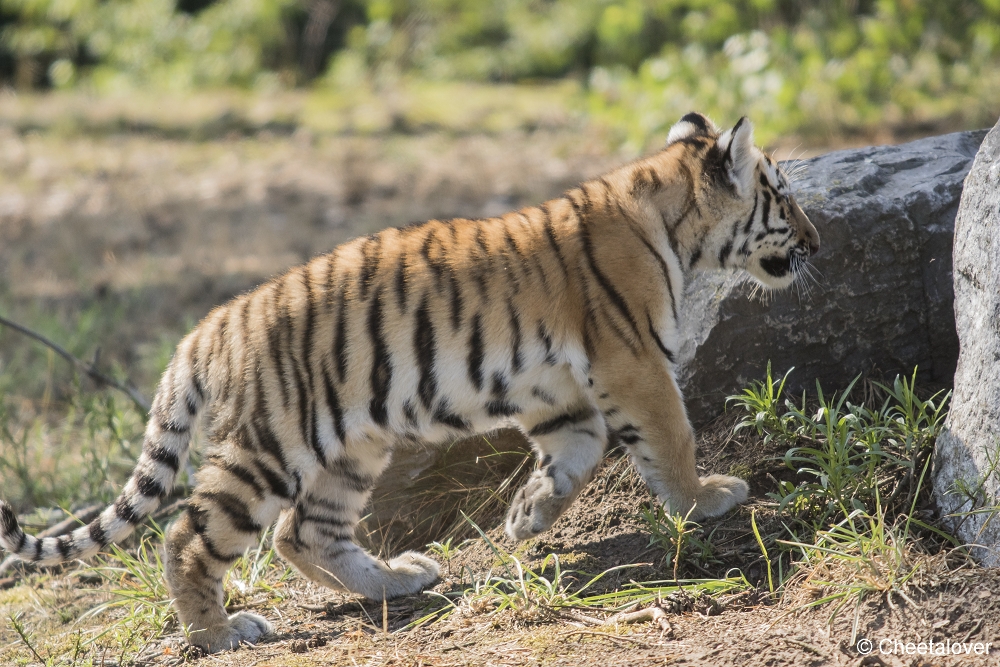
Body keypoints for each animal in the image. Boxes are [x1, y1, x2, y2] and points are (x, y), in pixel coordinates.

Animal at [0, 113, 820, 652]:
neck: (678, 226)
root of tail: (204, 330)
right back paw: (221, 631)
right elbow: (672, 437)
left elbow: (576, 453)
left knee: (305, 531)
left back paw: (399, 580)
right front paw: (707, 498)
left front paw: (527, 516)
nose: (818, 242)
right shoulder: (633, 361)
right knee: (189, 535)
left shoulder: (564, 389)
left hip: (351, 443)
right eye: (782, 195)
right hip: (269, 447)